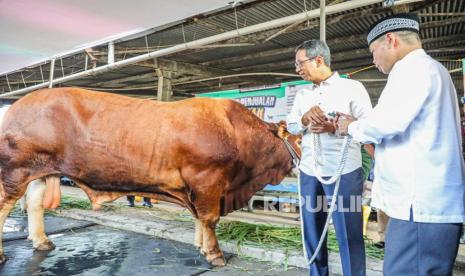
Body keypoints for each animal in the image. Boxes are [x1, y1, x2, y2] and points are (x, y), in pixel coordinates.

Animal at [0, 88, 300, 266]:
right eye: (299, 140)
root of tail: (16, 106)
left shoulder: (198, 187)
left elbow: (199, 218)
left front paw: (202, 247)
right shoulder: (208, 180)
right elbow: (209, 219)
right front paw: (215, 255)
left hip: (40, 170)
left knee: (35, 204)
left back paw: (42, 241)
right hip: (14, 171)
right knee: (5, 206)